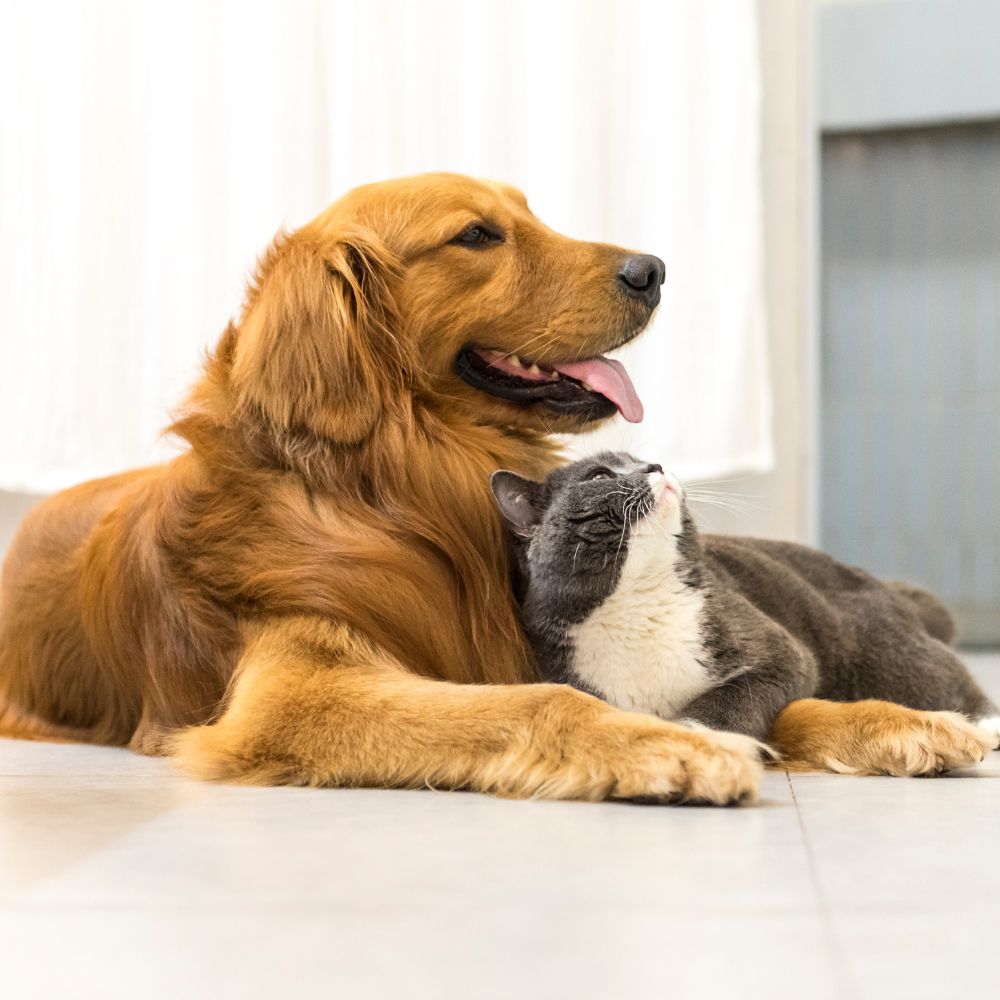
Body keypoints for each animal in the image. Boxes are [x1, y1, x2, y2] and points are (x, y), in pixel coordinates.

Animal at [492, 450, 1000, 748]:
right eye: (599, 474)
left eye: (641, 457)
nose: (656, 467)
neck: (637, 603)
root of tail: (886, 587)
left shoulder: (775, 649)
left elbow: (739, 690)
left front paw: (700, 734)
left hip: (890, 659)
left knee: (958, 688)